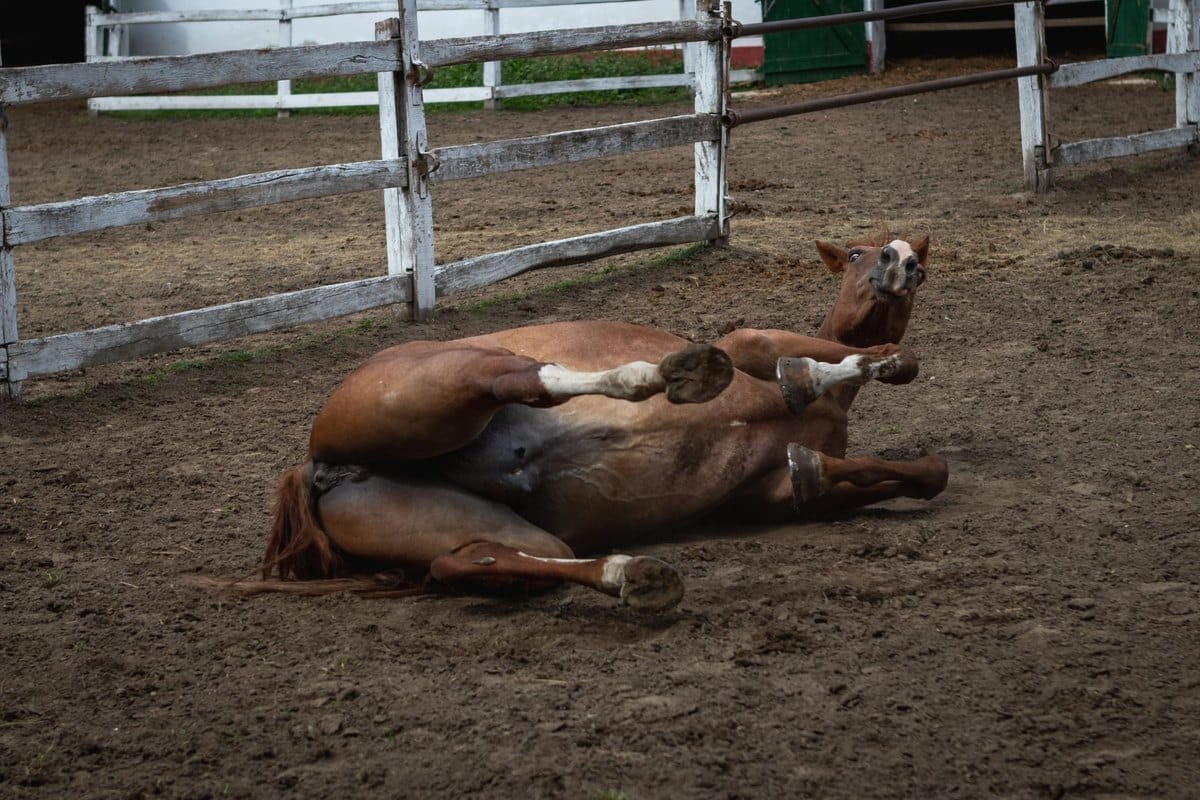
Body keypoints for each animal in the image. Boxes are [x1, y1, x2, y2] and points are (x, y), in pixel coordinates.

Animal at [257, 235, 947, 610]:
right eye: (856, 252)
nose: (903, 260)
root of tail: (319, 467)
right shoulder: (751, 342)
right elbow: (844, 362)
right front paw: (815, 377)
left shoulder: (768, 494)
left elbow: (902, 472)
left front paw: (827, 457)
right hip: (458, 376)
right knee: (524, 381)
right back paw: (677, 374)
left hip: (491, 528)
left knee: (470, 562)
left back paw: (633, 576)